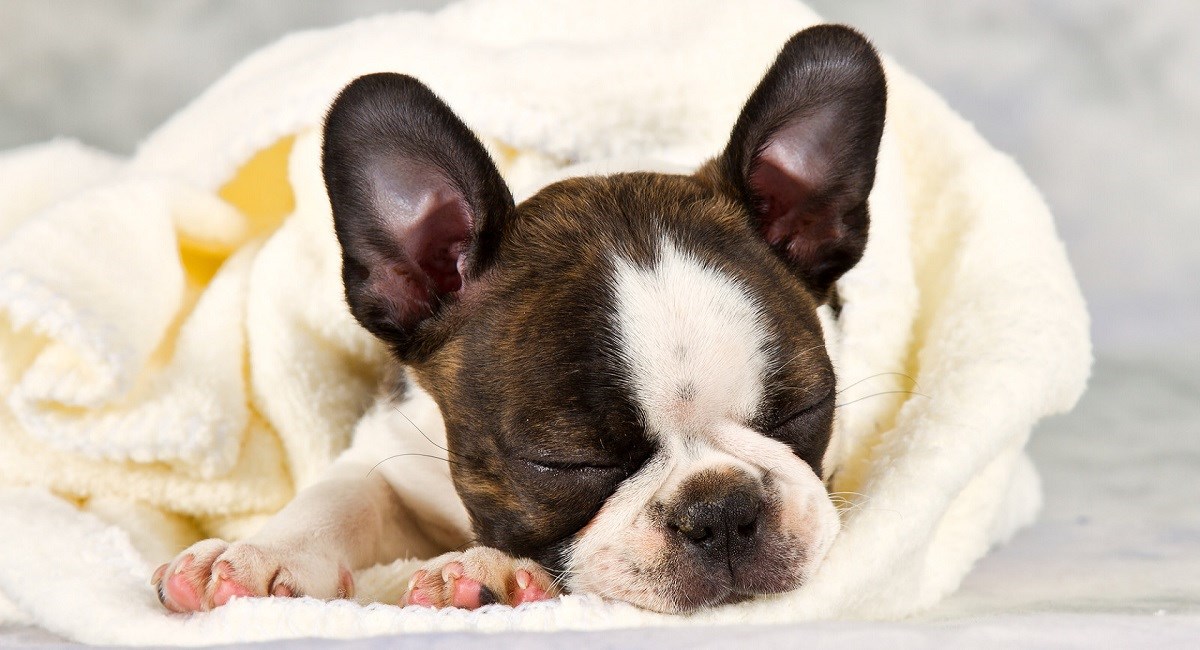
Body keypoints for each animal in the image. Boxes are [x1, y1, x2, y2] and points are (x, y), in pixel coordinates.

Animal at [150, 24, 888, 618]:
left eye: (805, 411)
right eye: (564, 462)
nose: (722, 510)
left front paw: (487, 573)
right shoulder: (393, 451)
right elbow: (339, 494)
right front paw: (258, 554)